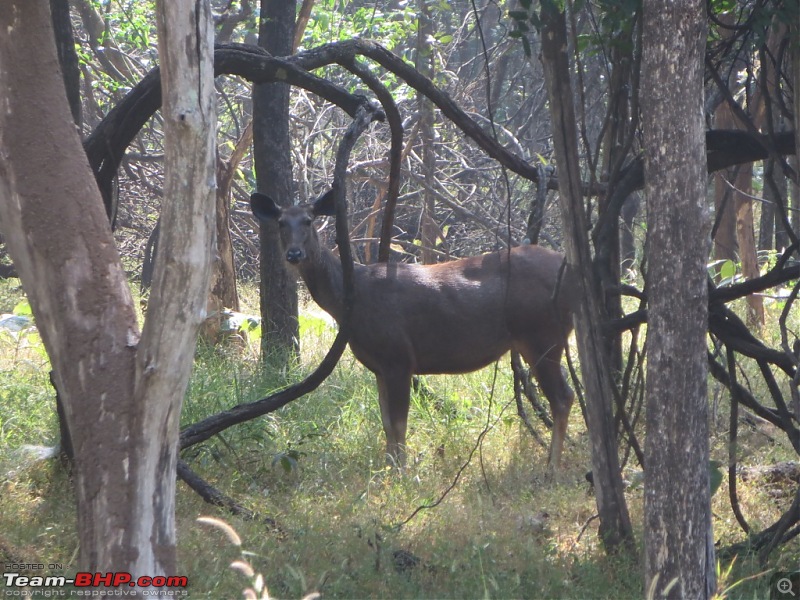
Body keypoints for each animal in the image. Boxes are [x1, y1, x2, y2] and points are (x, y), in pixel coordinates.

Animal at [250, 190, 576, 466]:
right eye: (281, 222)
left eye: (308, 220)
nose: (294, 254)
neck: (351, 303)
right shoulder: (380, 366)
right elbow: (386, 423)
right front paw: (389, 467)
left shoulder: (399, 357)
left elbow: (399, 423)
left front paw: (402, 473)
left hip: (542, 335)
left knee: (562, 397)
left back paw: (552, 466)